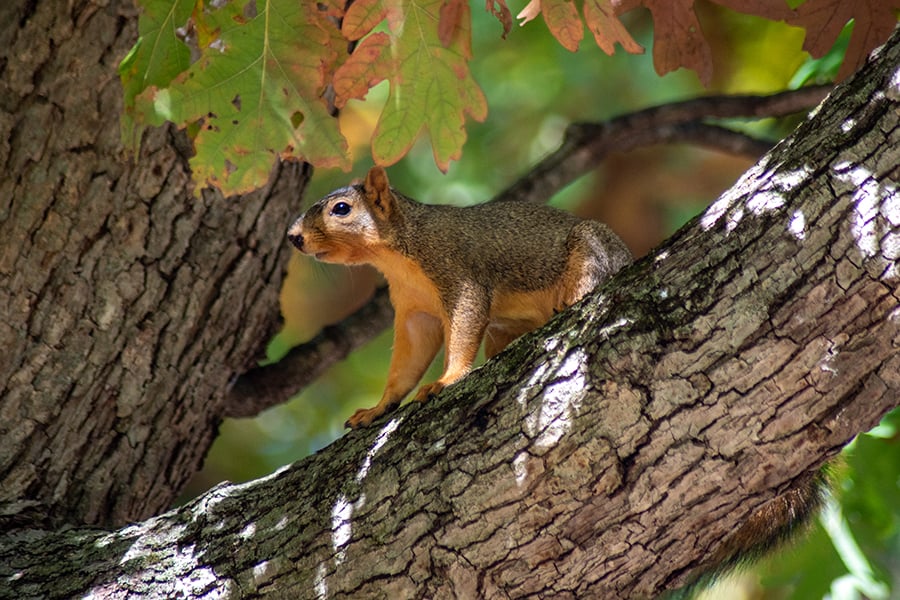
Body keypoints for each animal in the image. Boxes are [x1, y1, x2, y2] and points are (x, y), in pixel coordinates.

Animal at [288, 166, 632, 428]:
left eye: (341, 208)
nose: (293, 237)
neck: (396, 258)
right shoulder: (415, 310)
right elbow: (408, 360)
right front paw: (379, 407)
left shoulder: (459, 274)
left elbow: (465, 324)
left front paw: (447, 379)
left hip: (591, 246)